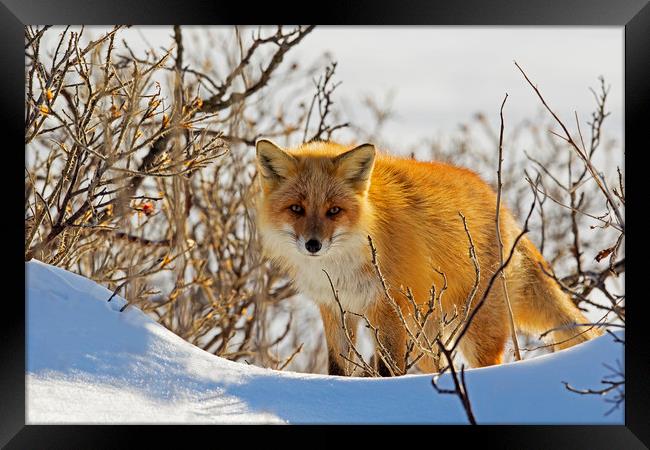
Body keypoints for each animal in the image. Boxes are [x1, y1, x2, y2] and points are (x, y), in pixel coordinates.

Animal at [252, 140, 596, 376]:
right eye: (296, 209)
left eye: (334, 210)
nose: (313, 245)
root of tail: (502, 208)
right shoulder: (335, 307)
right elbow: (339, 367)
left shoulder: (388, 309)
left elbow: (387, 370)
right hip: (427, 334)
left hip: (475, 330)